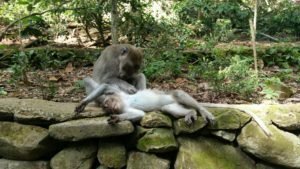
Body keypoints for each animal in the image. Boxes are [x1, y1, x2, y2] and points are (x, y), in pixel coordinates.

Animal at [75, 77, 216, 125]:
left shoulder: (118, 93)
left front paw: (83, 103)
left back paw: (203, 111)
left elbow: (105, 87)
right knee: (167, 108)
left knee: (178, 93)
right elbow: (139, 114)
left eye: (107, 103)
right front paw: (117, 118)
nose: (109, 106)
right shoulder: (124, 108)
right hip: (172, 104)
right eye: (107, 108)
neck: (123, 102)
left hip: (172, 96)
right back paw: (191, 112)